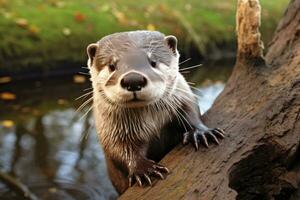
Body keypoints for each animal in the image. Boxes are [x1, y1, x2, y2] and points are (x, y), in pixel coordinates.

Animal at [85, 30, 224, 194]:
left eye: (153, 62)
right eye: (111, 66)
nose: (133, 80)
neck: (153, 123)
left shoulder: (183, 97)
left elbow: (192, 113)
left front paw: (201, 133)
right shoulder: (112, 129)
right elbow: (119, 148)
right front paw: (143, 168)